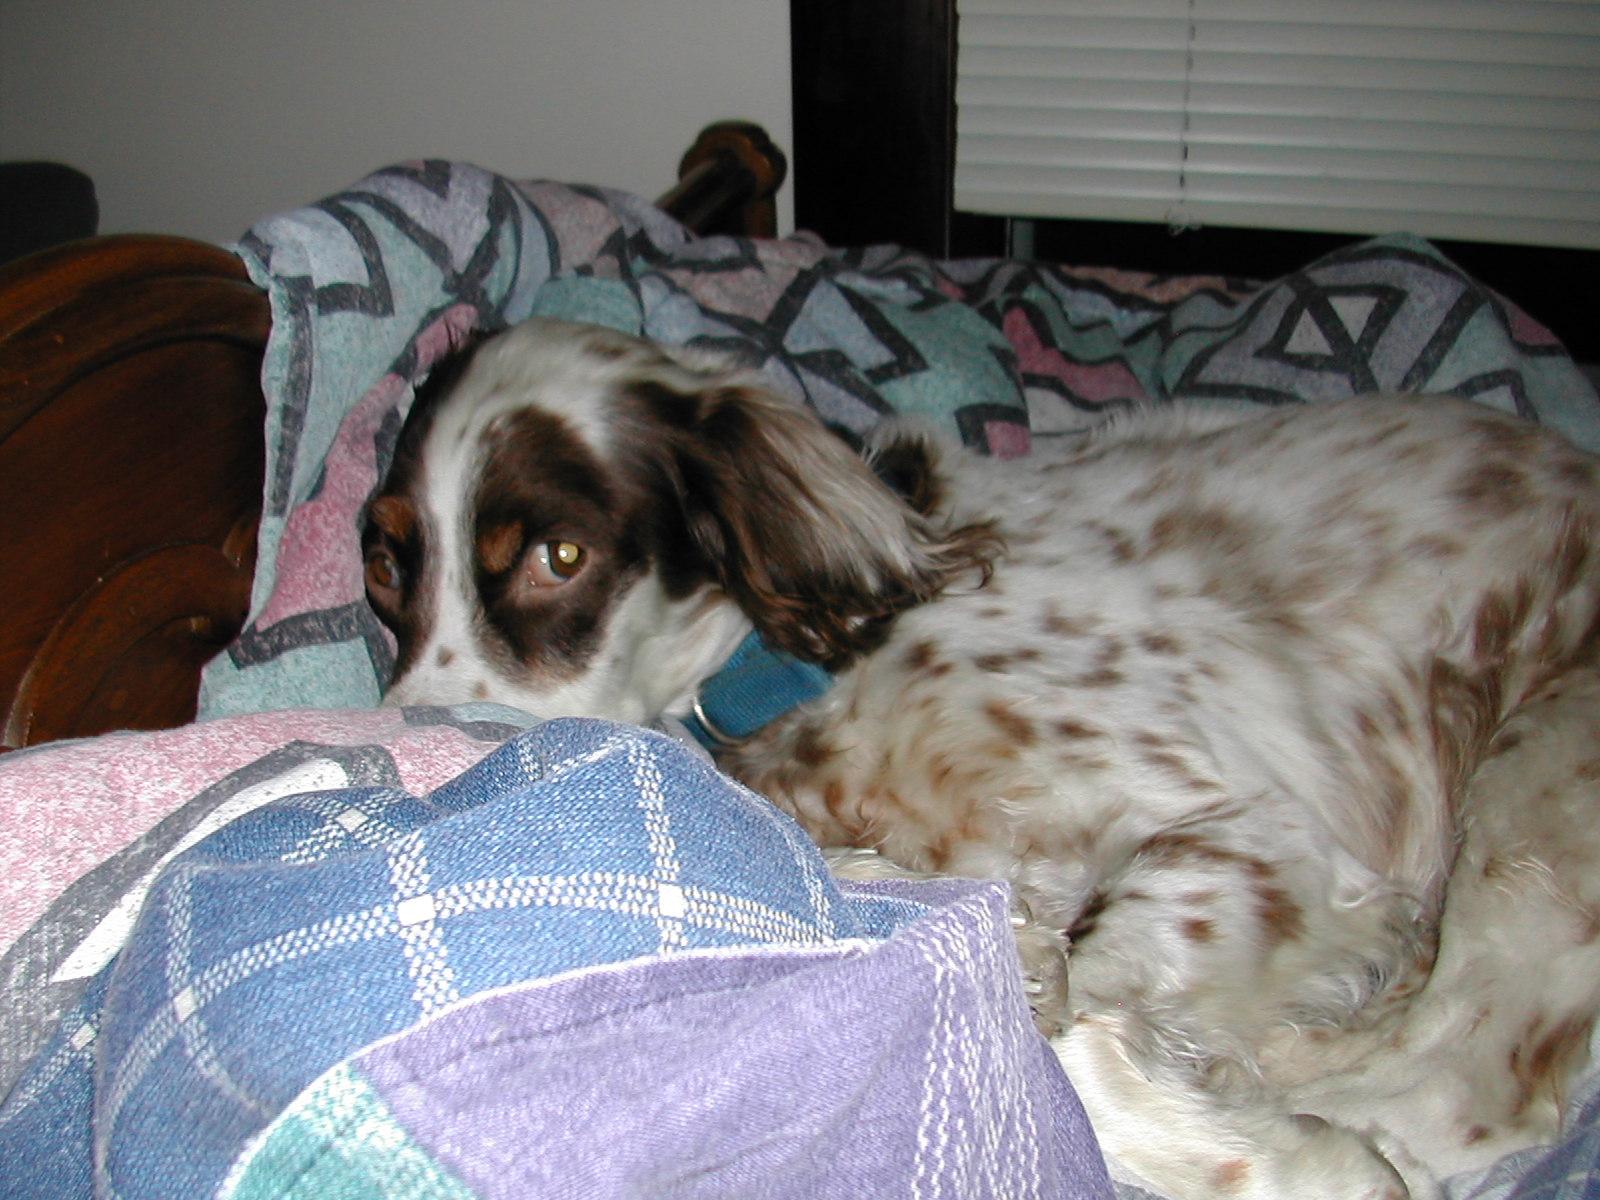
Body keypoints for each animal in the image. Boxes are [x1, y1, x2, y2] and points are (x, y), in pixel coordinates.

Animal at [365, 316, 1600, 1200]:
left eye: (561, 556)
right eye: (382, 563)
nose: (417, 737)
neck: (820, 666)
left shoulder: (1263, 837)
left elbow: (1074, 998)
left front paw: (1250, 1143)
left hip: (1535, 792)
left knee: (1464, 1077)